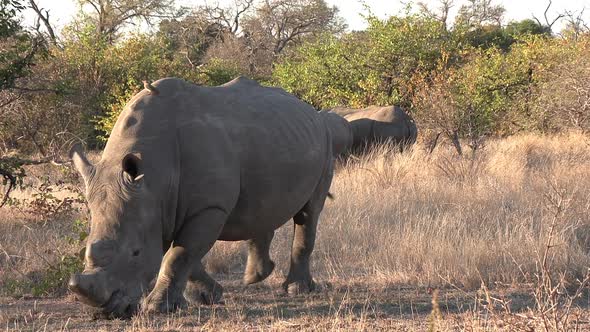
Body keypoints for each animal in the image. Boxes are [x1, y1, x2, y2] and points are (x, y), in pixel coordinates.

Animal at [67, 76, 336, 318]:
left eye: (136, 253)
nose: (106, 313)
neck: (155, 178)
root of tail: (312, 111)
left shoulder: (207, 208)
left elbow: (178, 255)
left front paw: (157, 308)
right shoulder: (162, 207)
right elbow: (184, 254)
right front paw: (208, 296)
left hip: (325, 143)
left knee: (309, 213)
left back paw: (296, 290)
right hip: (276, 138)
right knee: (260, 207)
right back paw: (255, 277)